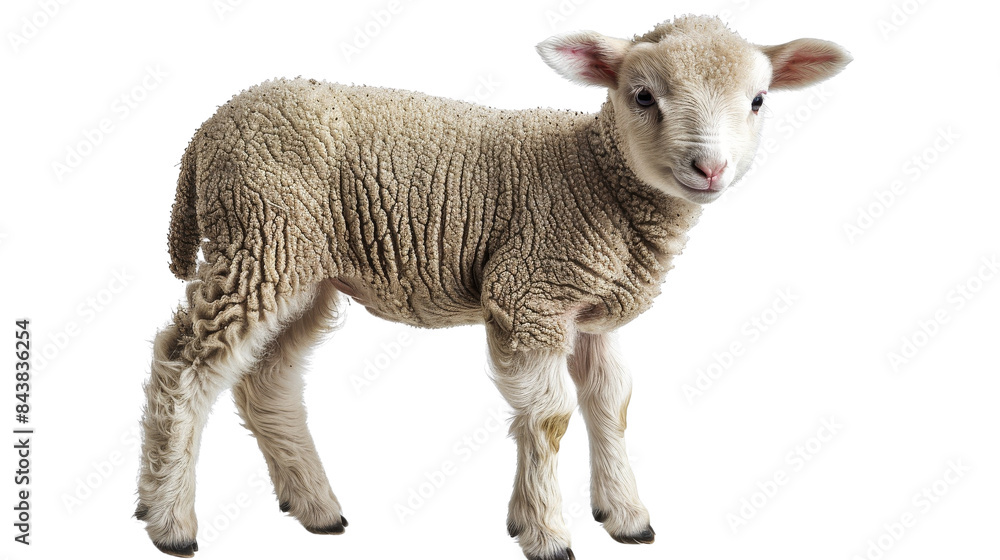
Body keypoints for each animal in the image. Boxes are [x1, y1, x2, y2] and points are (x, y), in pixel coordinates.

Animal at [135, 14, 851, 560]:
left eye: (758, 101)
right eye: (643, 96)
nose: (710, 168)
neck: (597, 178)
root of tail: (207, 133)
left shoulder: (590, 313)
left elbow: (611, 404)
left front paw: (624, 516)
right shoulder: (530, 290)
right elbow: (551, 417)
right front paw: (547, 532)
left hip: (301, 266)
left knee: (266, 381)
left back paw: (314, 505)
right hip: (260, 235)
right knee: (184, 366)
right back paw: (169, 520)